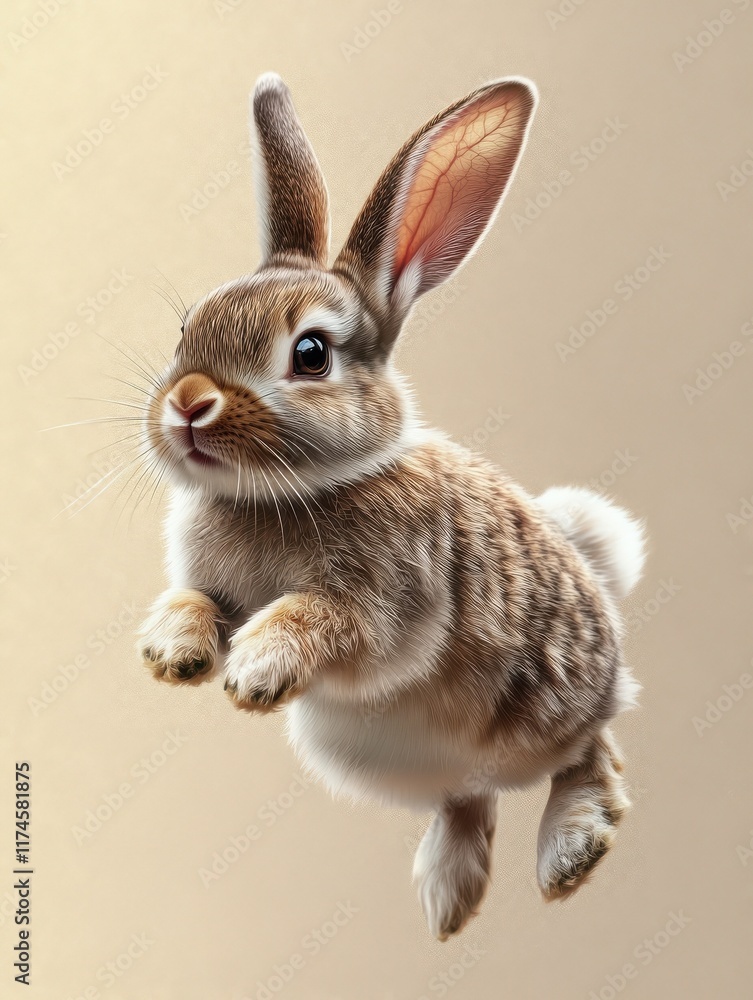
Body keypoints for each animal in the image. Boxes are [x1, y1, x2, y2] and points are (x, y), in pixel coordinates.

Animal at [137, 72, 646, 941]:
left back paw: (568, 851)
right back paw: (448, 895)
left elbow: (320, 616)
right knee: (468, 797)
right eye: (185, 329)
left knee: (592, 755)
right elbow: (194, 599)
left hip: (552, 706)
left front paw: (255, 670)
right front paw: (176, 653)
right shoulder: (211, 581)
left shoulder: (390, 606)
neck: (286, 493)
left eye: (310, 354)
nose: (188, 403)